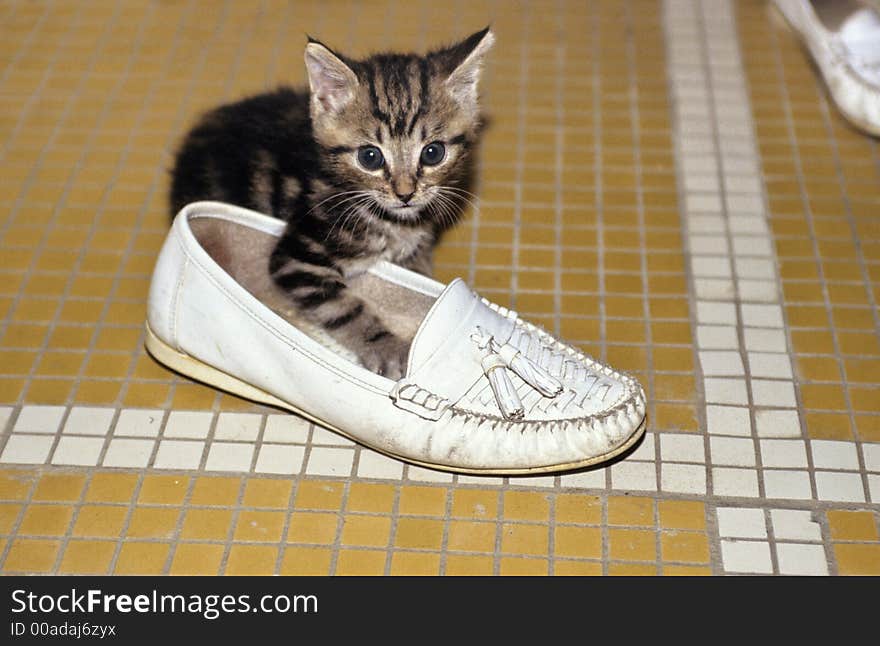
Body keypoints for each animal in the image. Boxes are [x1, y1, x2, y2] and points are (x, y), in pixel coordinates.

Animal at [168, 27, 492, 380]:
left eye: (433, 153)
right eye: (370, 157)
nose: (405, 193)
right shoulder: (297, 258)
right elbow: (344, 308)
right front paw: (388, 348)